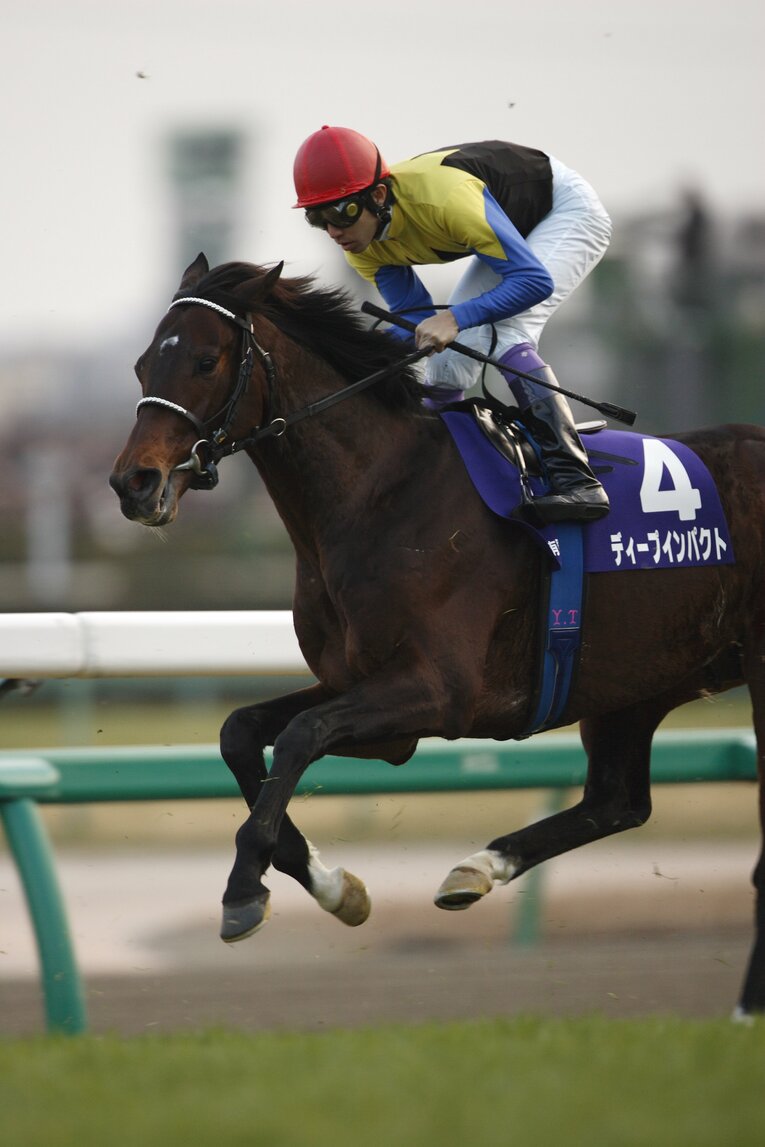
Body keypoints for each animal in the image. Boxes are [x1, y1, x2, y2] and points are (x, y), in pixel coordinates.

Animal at [110, 253, 765, 1019]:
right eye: (141, 364)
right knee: (618, 800)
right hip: (634, 680)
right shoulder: (368, 696)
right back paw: (476, 868)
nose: (133, 482)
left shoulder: (440, 690)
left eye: (206, 360)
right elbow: (241, 731)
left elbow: (300, 736)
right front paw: (333, 887)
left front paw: (244, 889)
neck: (383, 491)